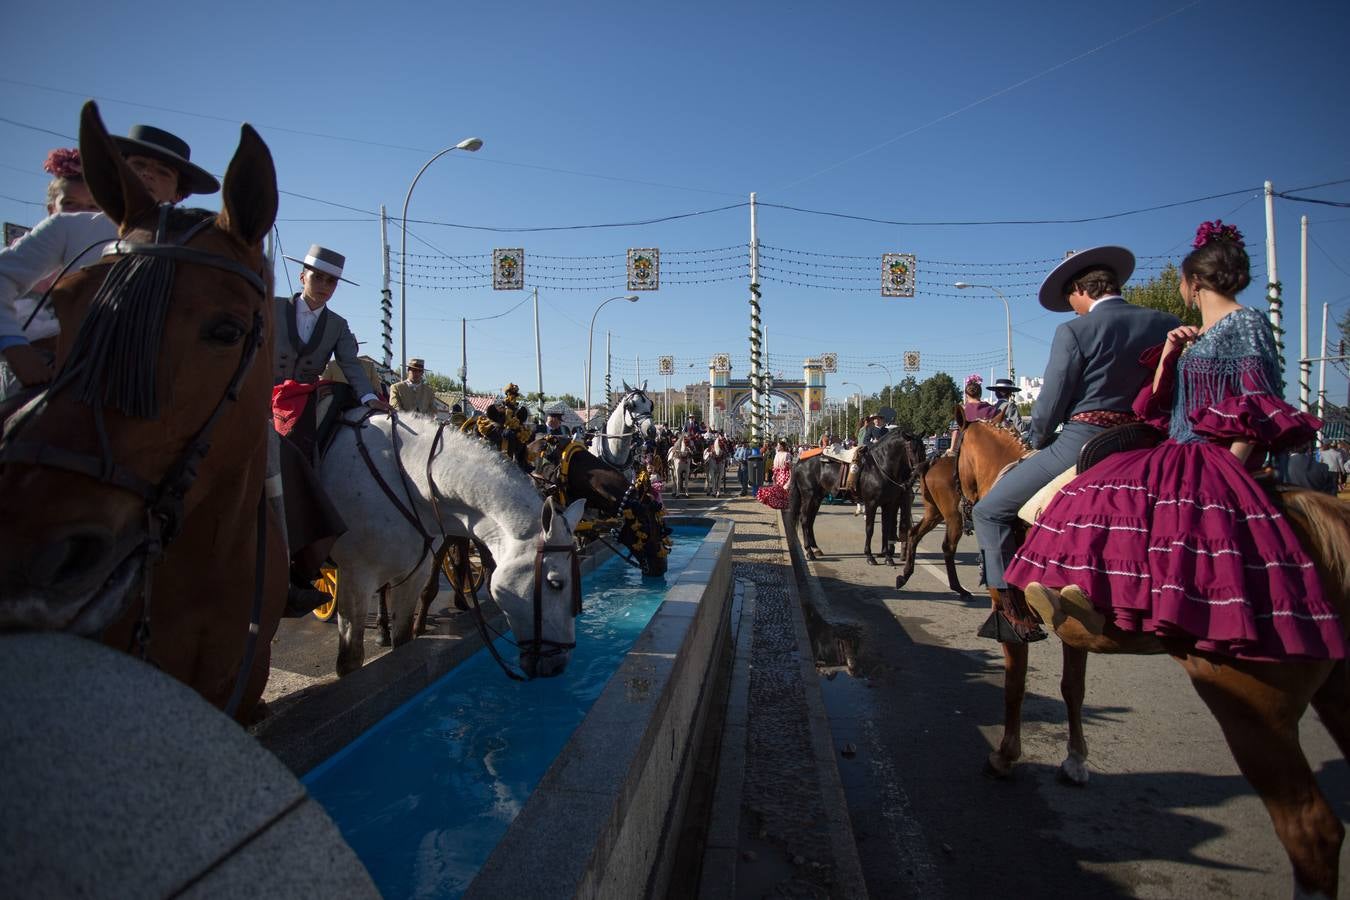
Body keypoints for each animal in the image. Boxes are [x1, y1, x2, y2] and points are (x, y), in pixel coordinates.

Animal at [321, 415, 591, 682]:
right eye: (556, 583)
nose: (558, 665)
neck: (410, 477)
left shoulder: (413, 574)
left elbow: (403, 637)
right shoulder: (357, 576)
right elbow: (349, 660)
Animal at [950, 412, 1350, 895]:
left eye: (953, 452)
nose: (963, 506)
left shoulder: (1009, 614)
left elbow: (1014, 686)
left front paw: (1005, 756)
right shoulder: (1072, 624)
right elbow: (1072, 688)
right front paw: (1076, 760)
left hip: (1254, 708)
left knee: (1311, 831)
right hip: (1336, 694)